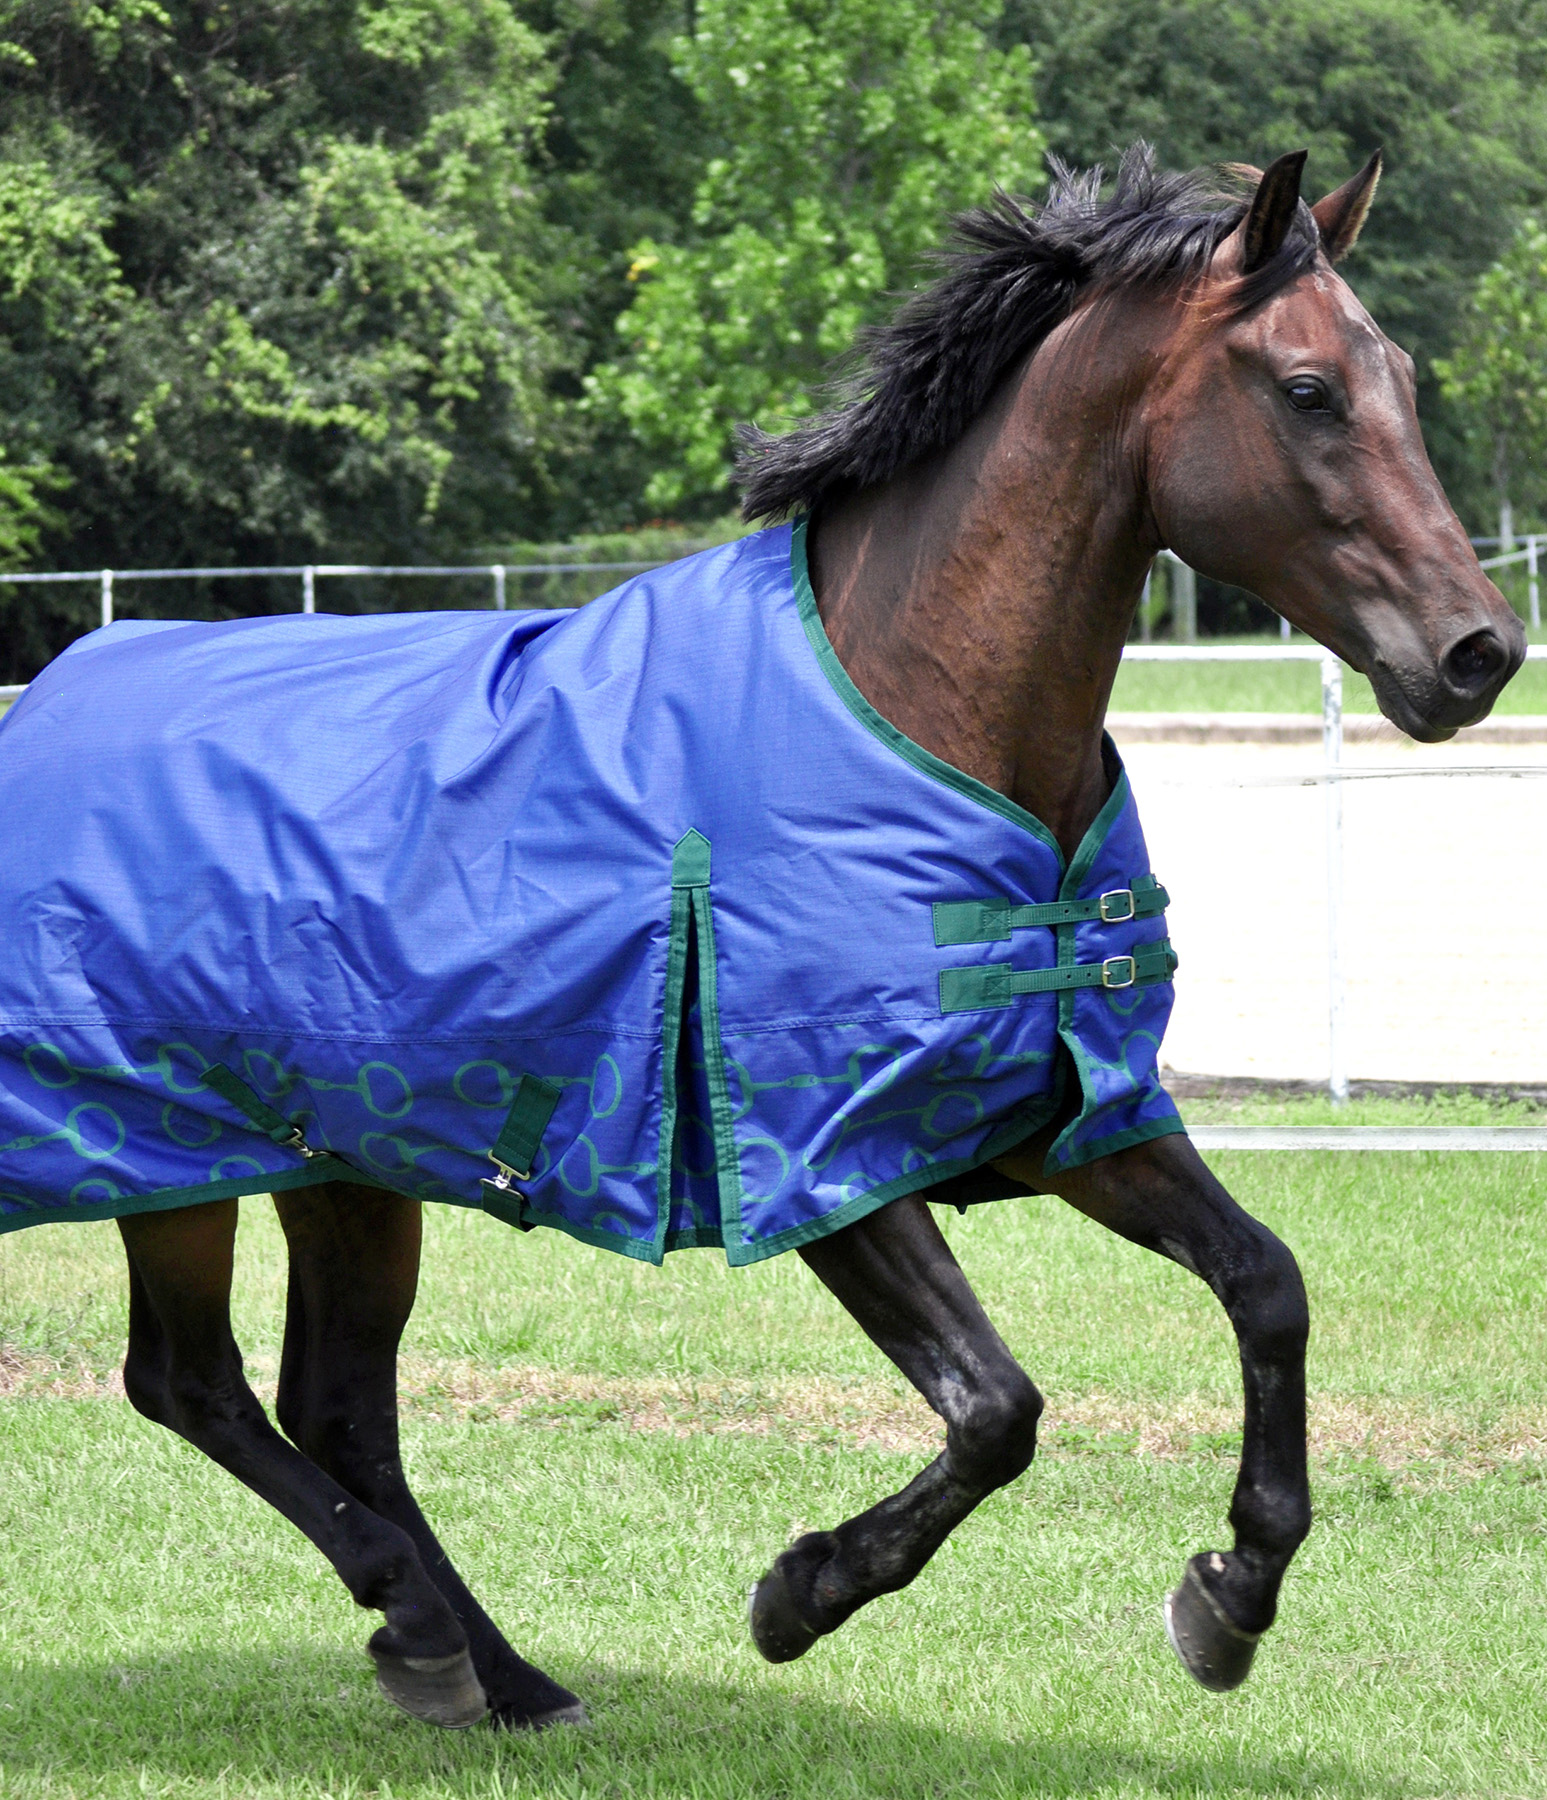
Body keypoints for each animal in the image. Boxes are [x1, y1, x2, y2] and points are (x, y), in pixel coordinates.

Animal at [0, 151, 1527, 1728]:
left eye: (1403, 379)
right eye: (1305, 389)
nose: (1477, 652)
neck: (906, 694)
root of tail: (48, 699)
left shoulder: (1049, 1120)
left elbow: (1264, 1288)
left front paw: (1230, 1594)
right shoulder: (816, 1160)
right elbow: (996, 1410)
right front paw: (802, 1594)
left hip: (348, 1160)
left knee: (334, 1408)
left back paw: (488, 1670)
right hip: (168, 1158)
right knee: (192, 1384)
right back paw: (413, 1618)